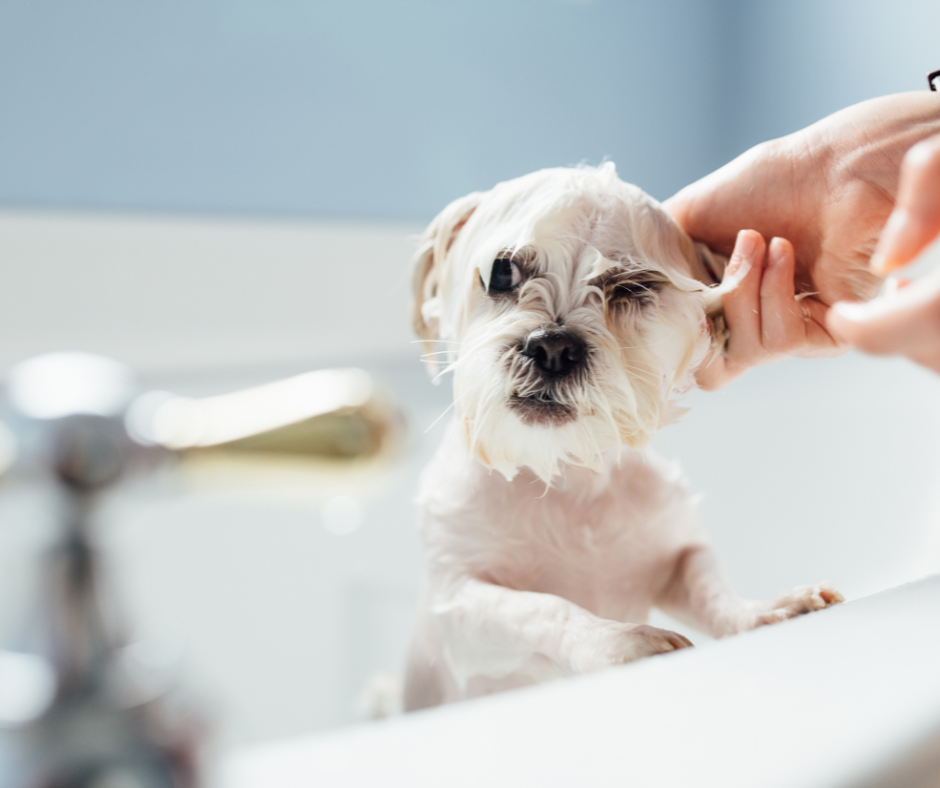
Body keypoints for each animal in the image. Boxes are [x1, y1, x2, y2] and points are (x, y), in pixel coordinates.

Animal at [404, 165, 844, 708]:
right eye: (502, 272)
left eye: (632, 287)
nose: (553, 347)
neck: (567, 476)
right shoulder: (460, 604)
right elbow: (540, 607)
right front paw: (616, 640)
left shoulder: (675, 554)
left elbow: (710, 587)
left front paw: (765, 609)